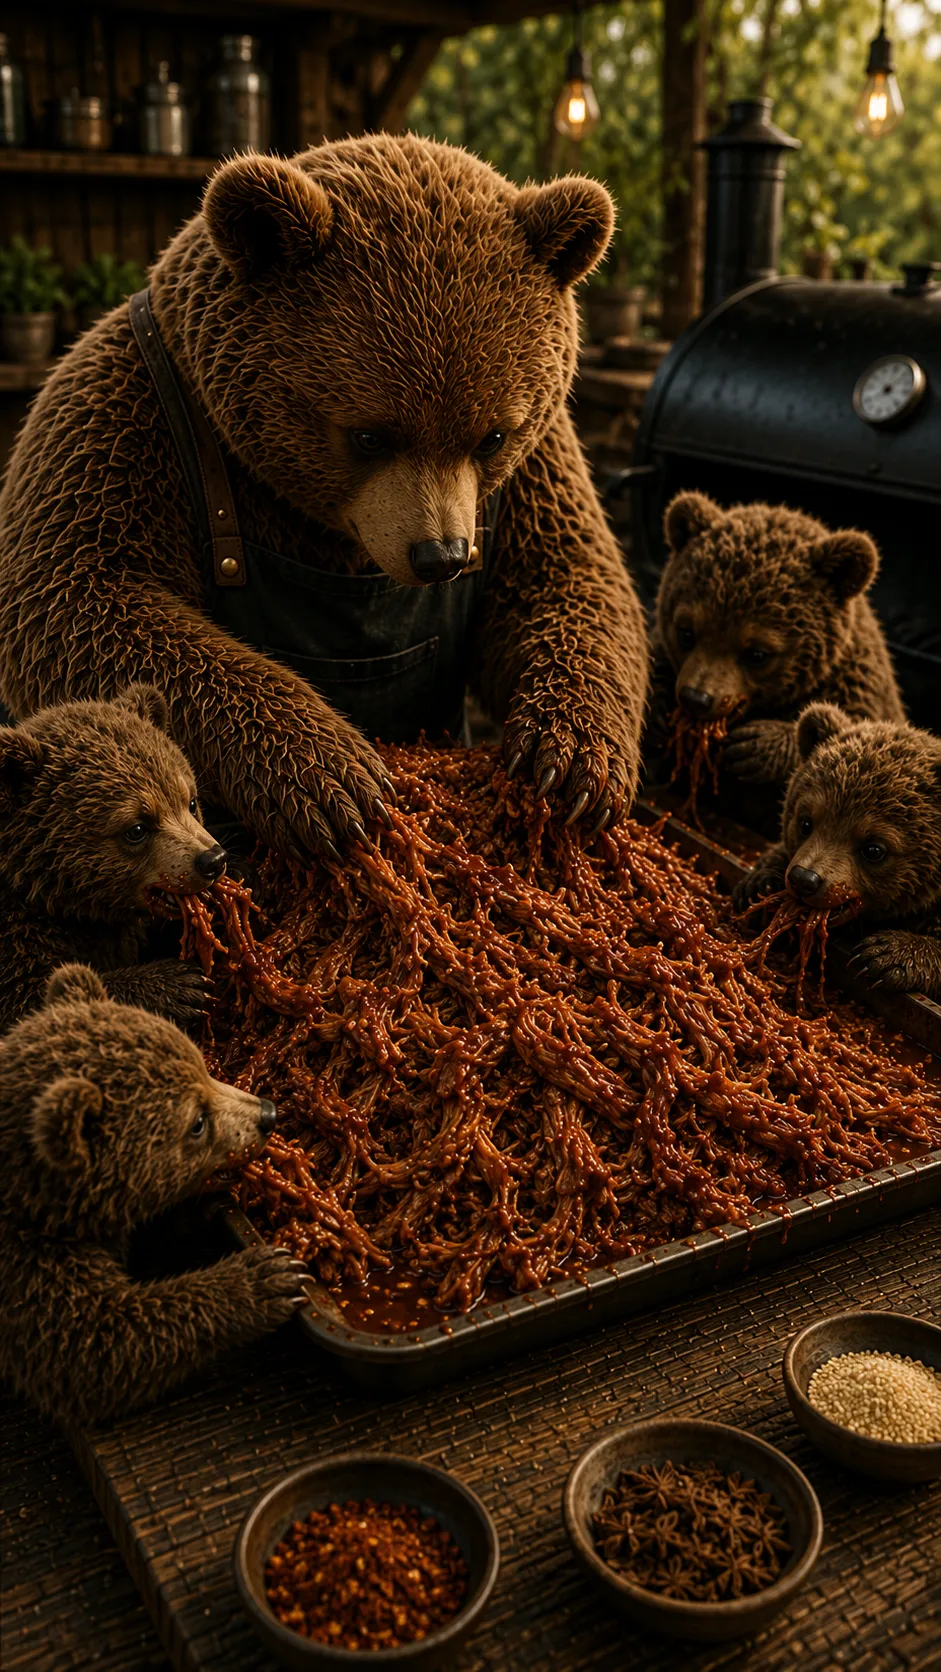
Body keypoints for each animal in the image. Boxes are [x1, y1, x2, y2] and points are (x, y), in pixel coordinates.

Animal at [0, 135, 648, 858]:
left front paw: (573, 762)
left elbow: (568, 576)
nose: (441, 556)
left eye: (493, 435)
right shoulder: (126, 424)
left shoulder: (541, 461)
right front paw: (333, 776)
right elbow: (80, 601)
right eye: (367, 434)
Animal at [0, 684, 225, 1033]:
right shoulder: (17, 937)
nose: (212, 860)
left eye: (190, 801)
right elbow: (29, 997)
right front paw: (182, 985)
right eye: (137, 828)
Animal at [0, 963, 307, 1426]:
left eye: (204, 1066)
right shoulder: (29, 1269)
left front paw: (207, 1208)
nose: (267, 1113)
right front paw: (268, 1277)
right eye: (197, 1122)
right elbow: (93, 1352)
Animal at [647, 493, 905, 832]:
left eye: (757, 654)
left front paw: (755, 745)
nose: (696, 698)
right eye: (686, 632)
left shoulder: (855, 687)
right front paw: (657, 705)